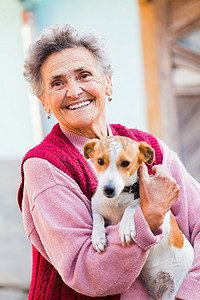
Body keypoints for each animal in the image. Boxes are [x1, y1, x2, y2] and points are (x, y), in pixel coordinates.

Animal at [83, 137, 195, 300]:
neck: (118, 199)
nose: (108, 189)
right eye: (100, 161)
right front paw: (98, 237)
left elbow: (131, 207)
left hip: (172, 291)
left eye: (125, 163)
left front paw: (125, 228)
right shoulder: (96, 207)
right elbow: (98, 218)